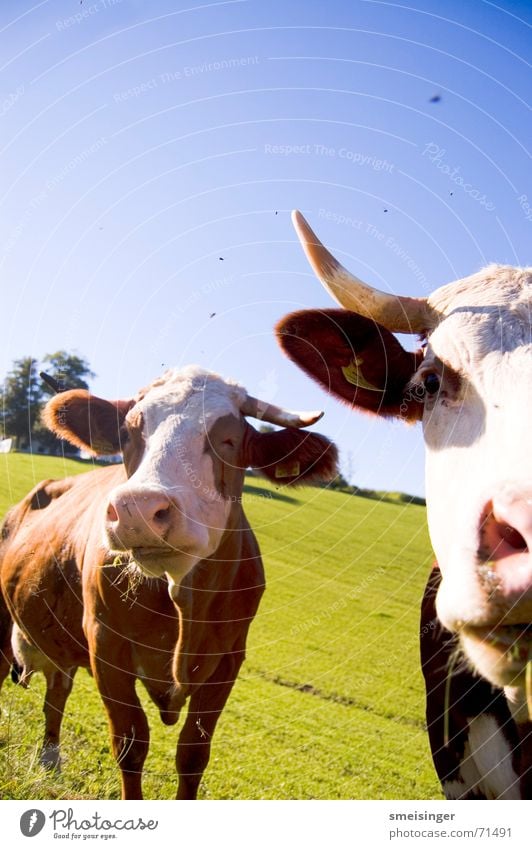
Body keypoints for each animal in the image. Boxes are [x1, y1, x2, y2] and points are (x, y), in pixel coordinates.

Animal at [1, 364, 336, 796]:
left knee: (56, 693)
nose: (137, 509)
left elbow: (193, 754)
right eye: (129, 433)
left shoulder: (229, 660)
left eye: (228, 440)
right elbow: (131, 743)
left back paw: (49, 761)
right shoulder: (106, 646)